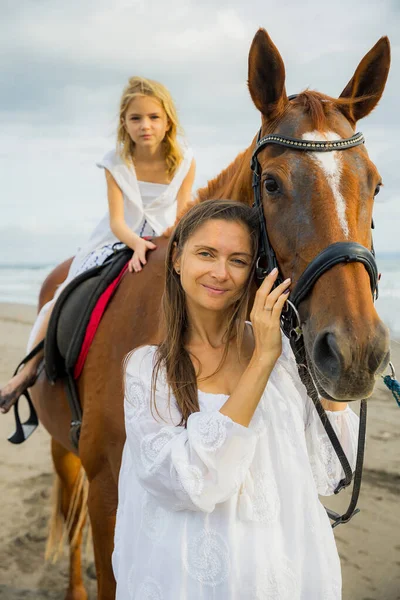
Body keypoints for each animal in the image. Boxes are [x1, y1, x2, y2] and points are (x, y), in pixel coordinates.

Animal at [26, 28, 390, 600]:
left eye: (374, 184)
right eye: (272, 184)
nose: (356, 351)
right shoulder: (107, 492)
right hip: (65, 452)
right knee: (71, 517)